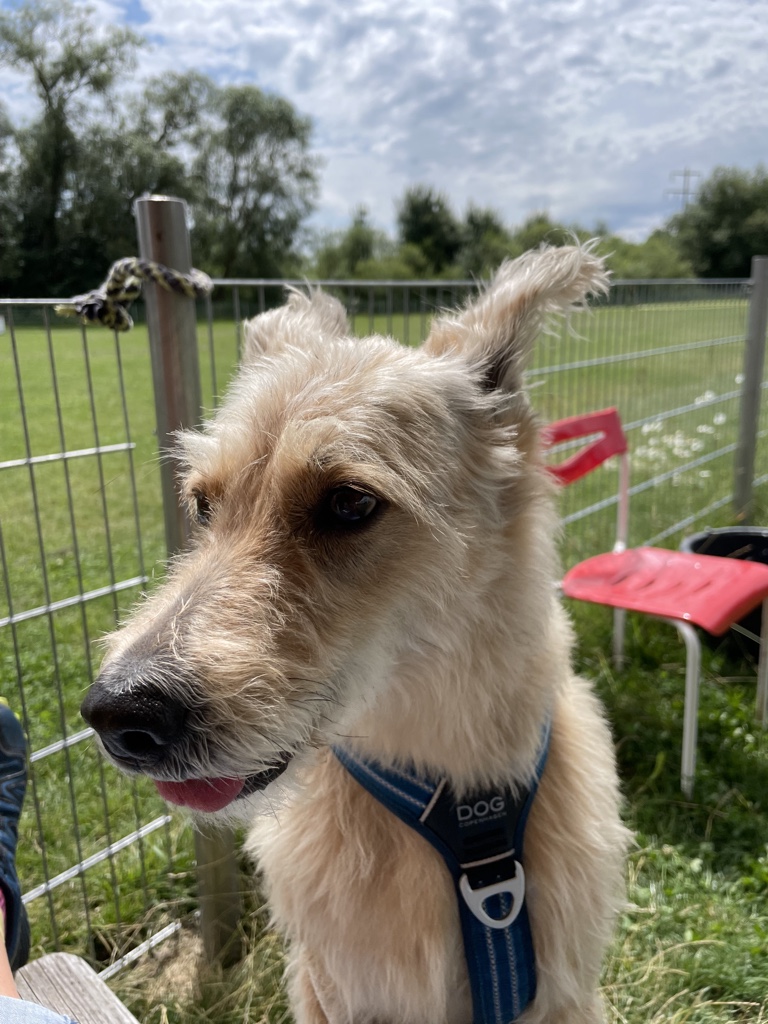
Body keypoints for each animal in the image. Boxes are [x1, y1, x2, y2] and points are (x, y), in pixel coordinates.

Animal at [81, 244, 629, 1024]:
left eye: (348, 502)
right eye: (203, 505)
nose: (116, 714)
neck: (455, 805)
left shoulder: (561, 990)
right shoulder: (338, 986)